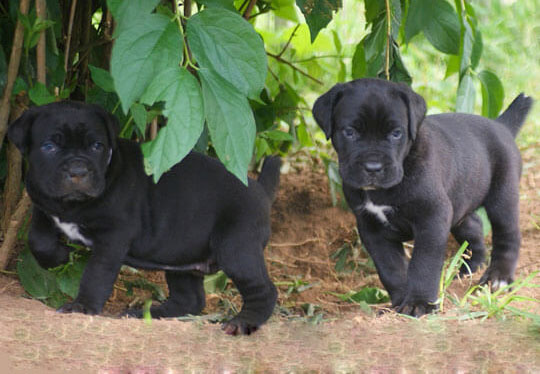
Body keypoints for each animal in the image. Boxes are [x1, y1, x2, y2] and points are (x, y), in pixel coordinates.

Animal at [8, 100, 280, 336]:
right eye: (49, 147)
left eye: (97, 146)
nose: (78, 171)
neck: (71, 205)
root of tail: (260, 189)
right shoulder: (42, 205)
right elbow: (38, 239)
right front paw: (58, 258)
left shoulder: (113, 236)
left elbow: (96, 273)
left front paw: (82, 306)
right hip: (181, 257)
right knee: (190, 299)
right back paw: (148, 314)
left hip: (236, 247)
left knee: (264, 290)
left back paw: (243, 322)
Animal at [314, 78, 532, 316]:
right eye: (350, 132)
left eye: (396, 133)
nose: (373, 167)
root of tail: (501, 125)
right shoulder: (371, 227)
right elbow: (390, 267)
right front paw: (399, 301)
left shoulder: (432, 217)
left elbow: (424, 264)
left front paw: (419, 303)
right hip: (458, 203)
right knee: (473, 225)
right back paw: (469, 269)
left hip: (503, 196)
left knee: (508, 235)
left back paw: (498, 278)